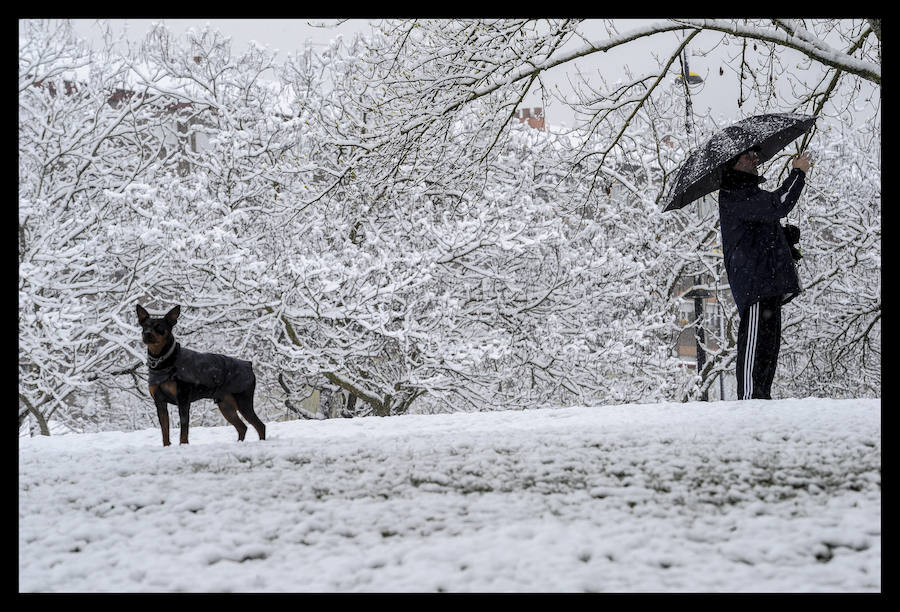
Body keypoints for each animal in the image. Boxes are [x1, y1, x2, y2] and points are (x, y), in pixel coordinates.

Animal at [135, 304, 266, 444]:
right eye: (144, 326)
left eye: (159, 326)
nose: (147, 333)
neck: (162, 361)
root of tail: (249, 365)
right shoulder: (159, 402)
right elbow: (165, 431)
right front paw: (167, 446)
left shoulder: (183, 399)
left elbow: (184, 429)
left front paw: (183, 445)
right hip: (225, 405)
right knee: (242, 427)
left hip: (243, 401)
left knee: (260, 425)